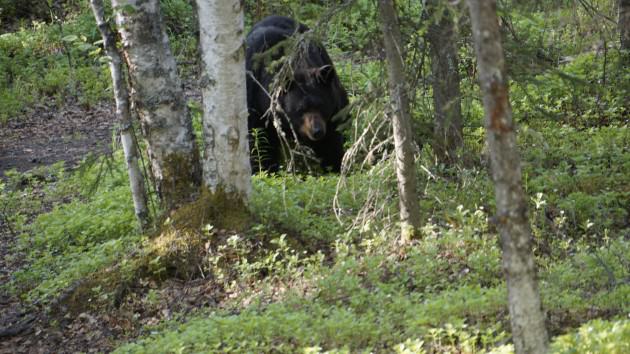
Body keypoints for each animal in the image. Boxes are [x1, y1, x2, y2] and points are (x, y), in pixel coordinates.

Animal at [246, 15, 350, 173]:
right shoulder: (255, 98)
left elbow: (331, 139)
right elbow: (259, 138)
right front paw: (263, 169)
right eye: (300, 109)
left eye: (321, 105)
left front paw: (336, 165)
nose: (317, 131)